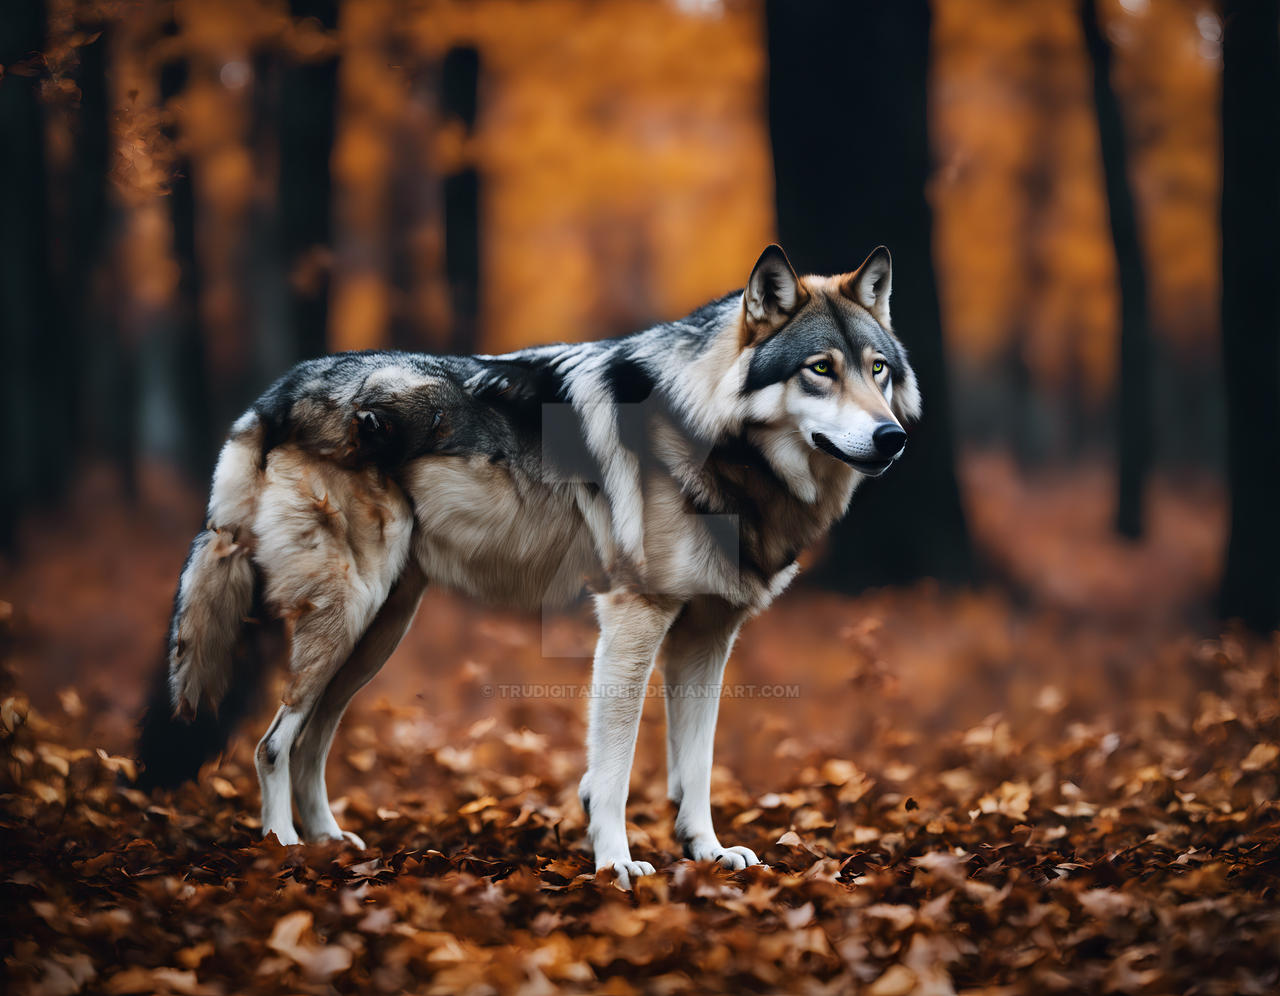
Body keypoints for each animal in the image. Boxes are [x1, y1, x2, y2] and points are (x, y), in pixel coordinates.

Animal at [137, 244, 920, 887]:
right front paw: (616, 864)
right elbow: (614, 770)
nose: (893, 438)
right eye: (821, 370)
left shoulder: (707, 636)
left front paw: (707, 852)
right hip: (347, 617)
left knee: (309, 742)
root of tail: (272, 397)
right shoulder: (634, 621)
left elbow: (694, 768)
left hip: (376, 633)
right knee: (272, 745)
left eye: (877, 370)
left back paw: (331, 843)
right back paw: (285, 852)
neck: (710, 435)